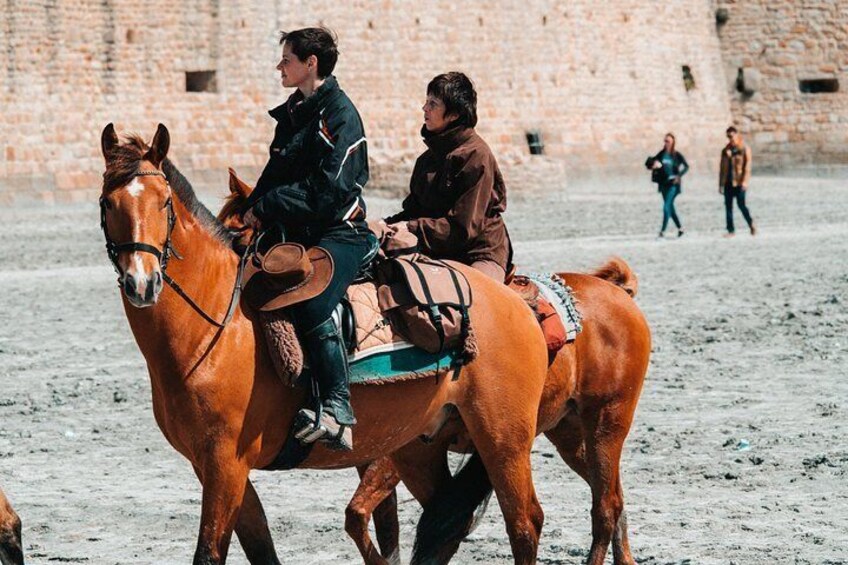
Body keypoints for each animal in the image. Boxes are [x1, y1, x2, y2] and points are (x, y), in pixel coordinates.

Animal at [99, 123, 552, 564]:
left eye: (164, 204)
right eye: (107, 203)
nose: (142, 282)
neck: (214, 333)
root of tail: (514, 301)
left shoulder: (226, 464)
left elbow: (209, 553)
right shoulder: (213, 467)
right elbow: (262, 550)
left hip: (503, 439)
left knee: (525, 524)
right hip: (418, 446)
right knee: (444, 526)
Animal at [217, 173, 648, 564]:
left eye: (244, 236)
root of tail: (618, 293)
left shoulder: (391, 456)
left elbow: (360, 515)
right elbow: (382, 525)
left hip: (603, 423)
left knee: (604, 506)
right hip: (569, 432)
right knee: (614, 496)